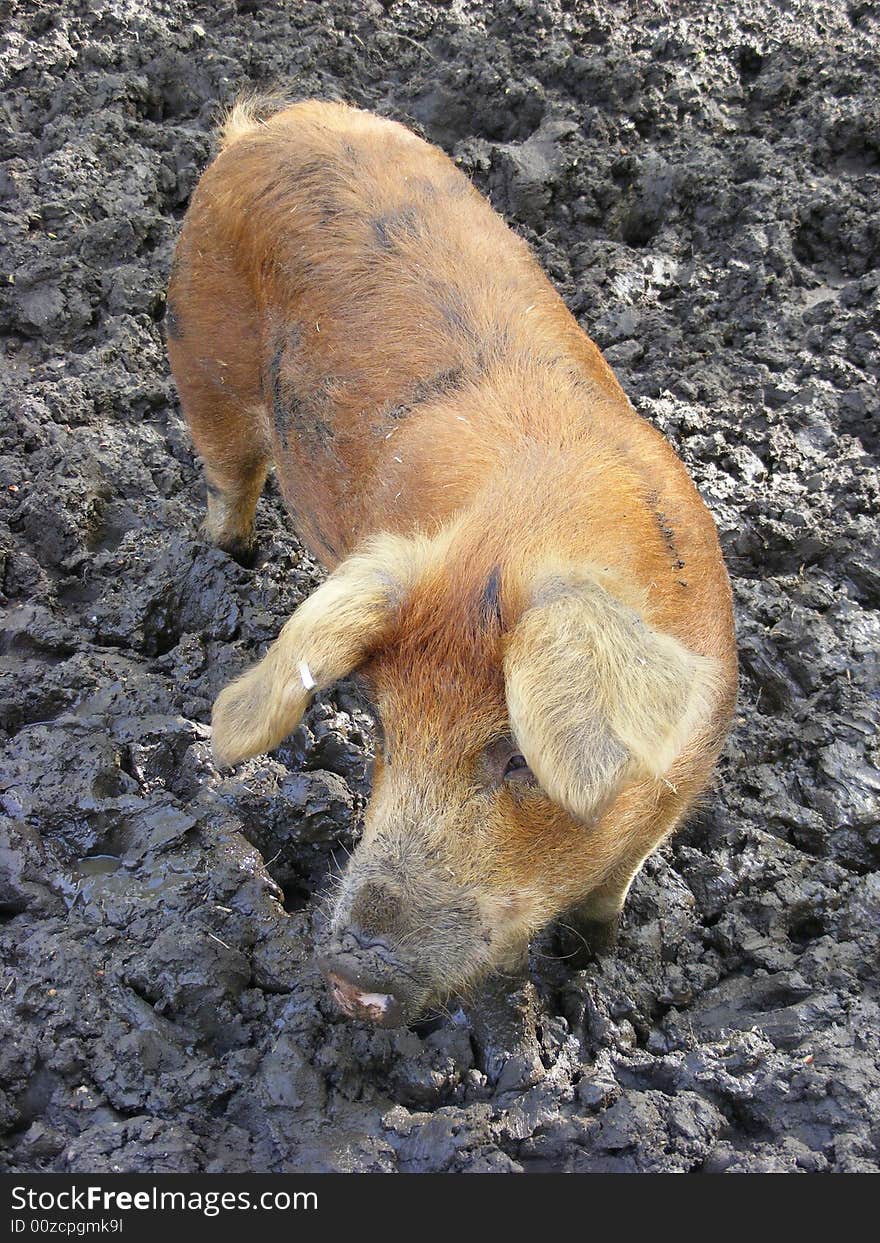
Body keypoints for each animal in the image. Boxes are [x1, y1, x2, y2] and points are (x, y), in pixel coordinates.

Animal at [165, 96, 735, 1044]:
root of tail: (263, 128)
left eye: (518, 759)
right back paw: (234, 557)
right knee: (228, 478)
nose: (349, 978)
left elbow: (610, 894)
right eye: (382, 727)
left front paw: (593, 961)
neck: (523, 530)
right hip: (201, 362)